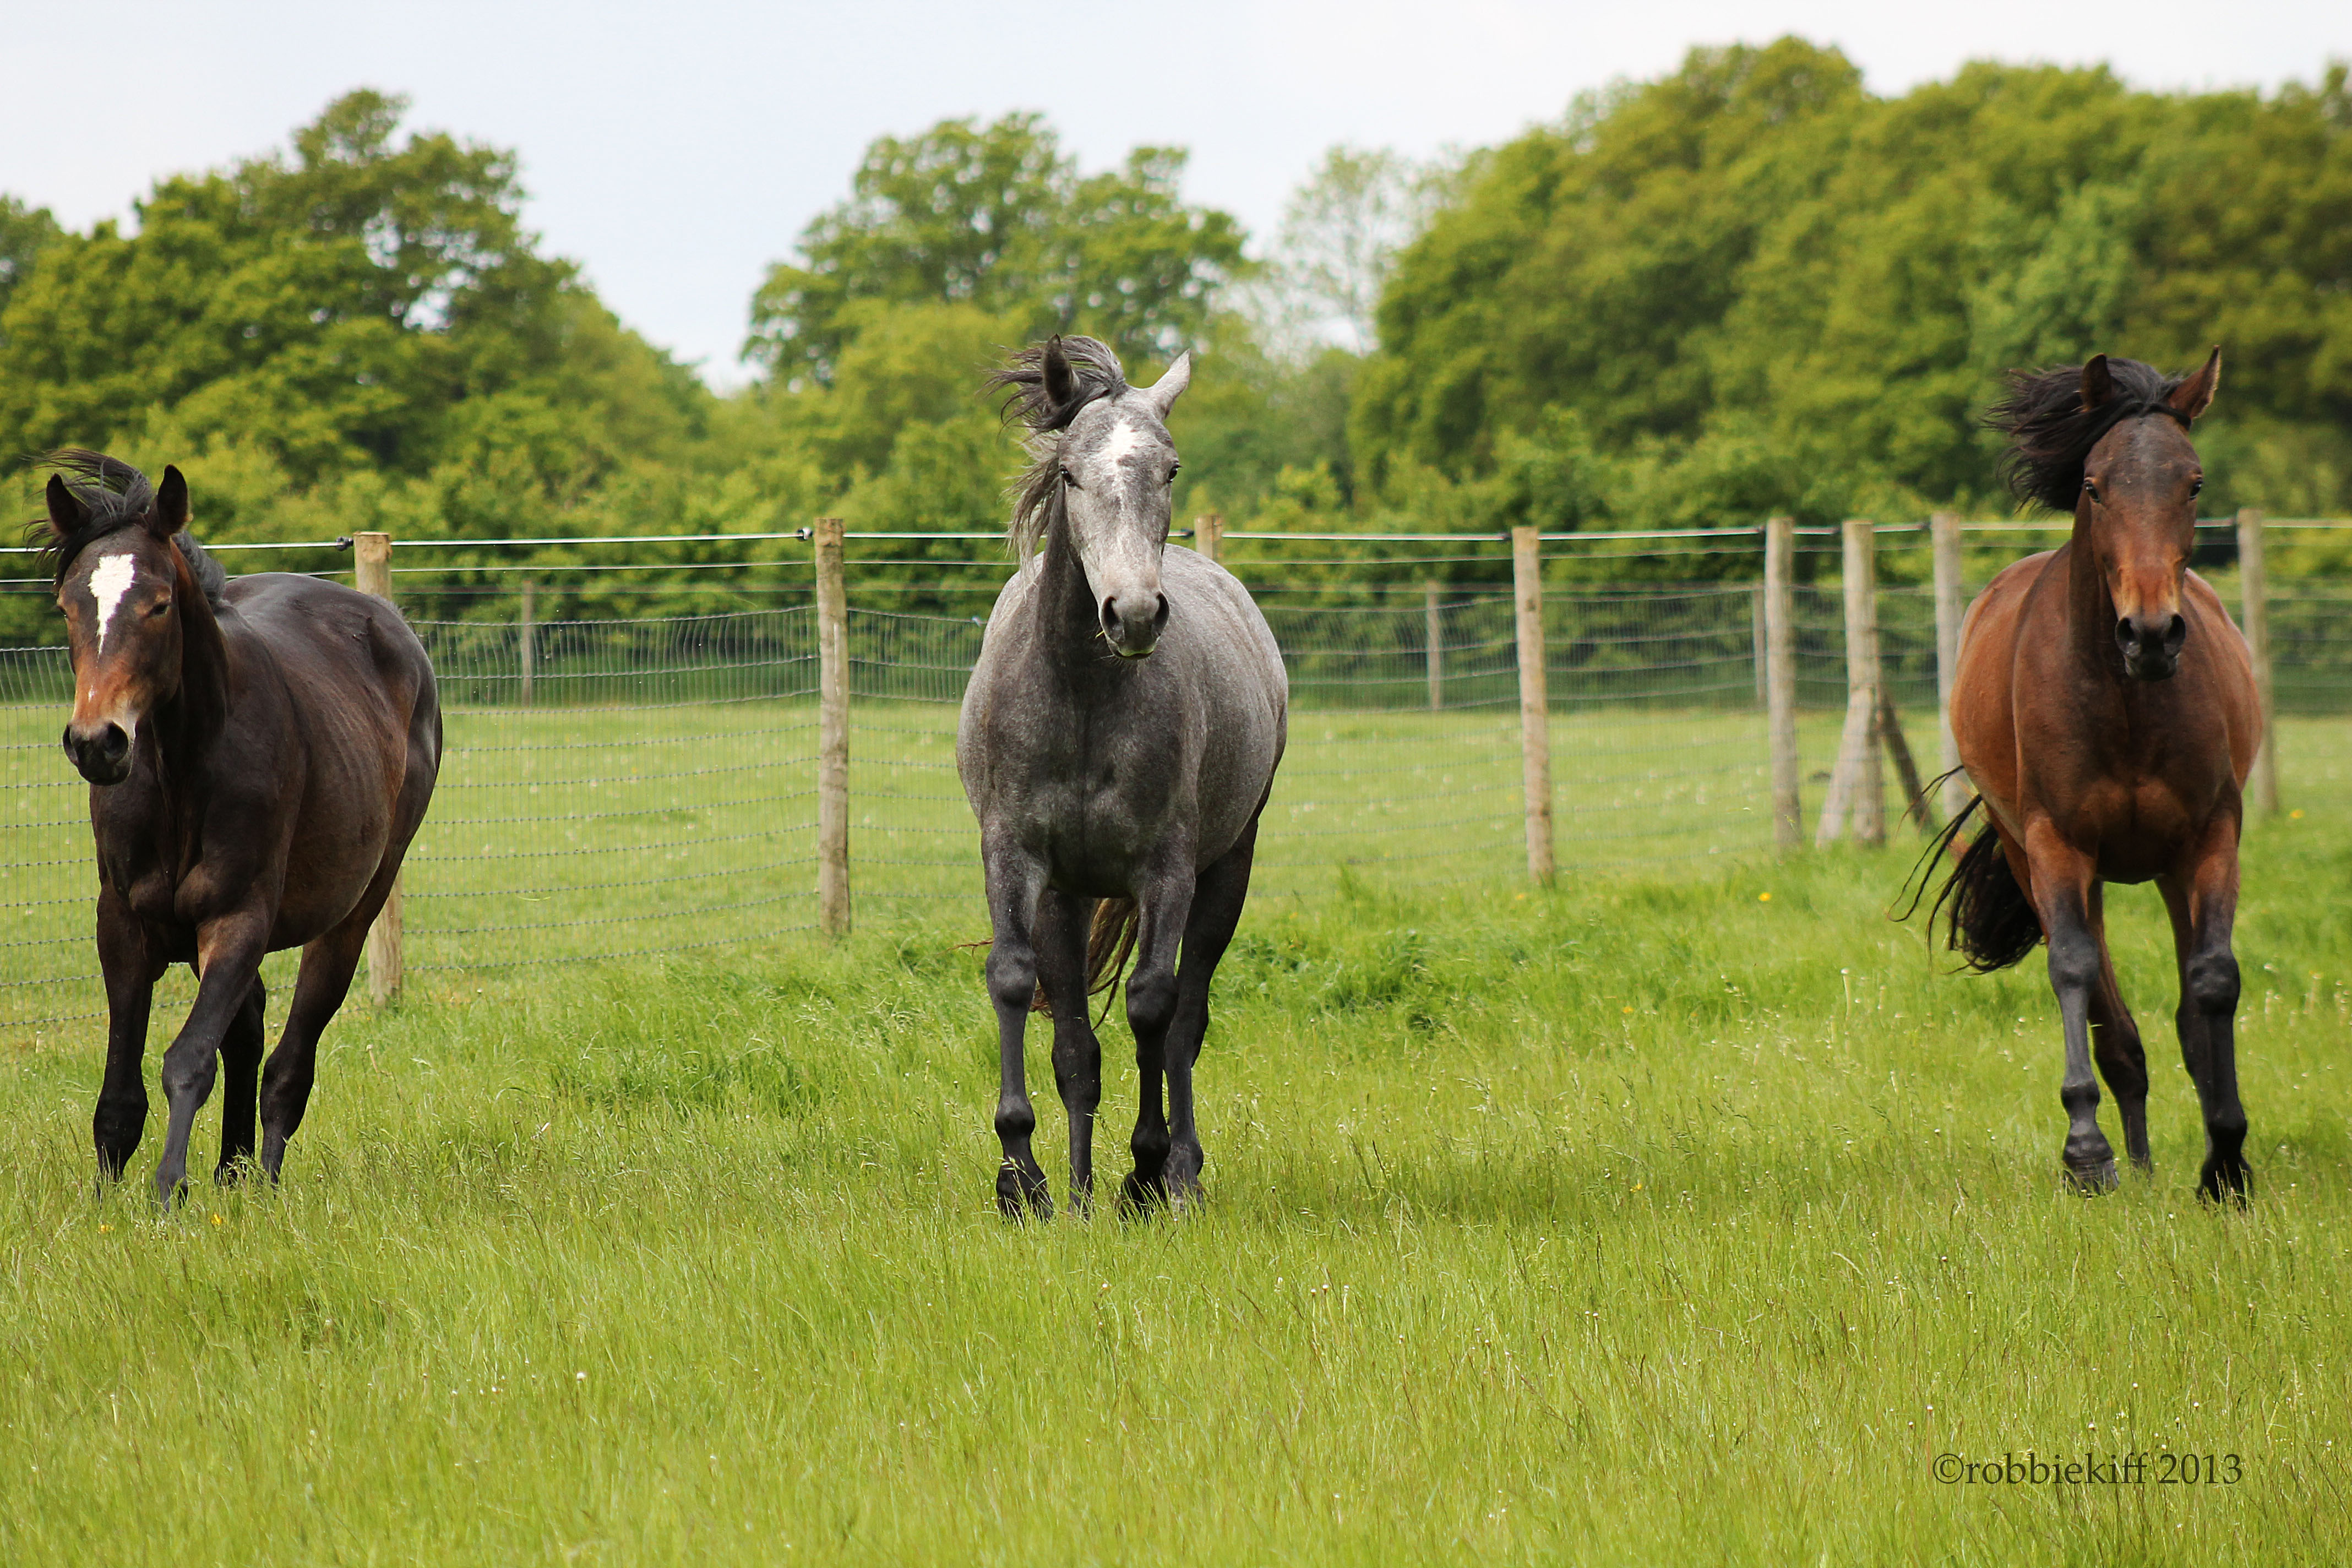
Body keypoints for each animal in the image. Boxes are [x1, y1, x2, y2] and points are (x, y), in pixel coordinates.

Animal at [36, 452, 441, 1204]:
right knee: (248, 1029)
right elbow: (120, 1092)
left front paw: (169, 1191)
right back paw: (232, 1171)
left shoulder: (237, 917)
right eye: (69, 606)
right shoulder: (123, 923)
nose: (97, 743)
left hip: (354, 910)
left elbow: (188, 1059)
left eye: (159, 604)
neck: (180, 774)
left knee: (287, 1062)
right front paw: (105, 1205)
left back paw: (260, 1181)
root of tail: (390, 624)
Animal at [958, 337, 1288, 1217]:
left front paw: (1145, 1170)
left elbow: (1153, 1006)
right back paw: (1077, 1190)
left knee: (1185, 1020)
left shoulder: (1166, 871)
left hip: (1228, 869)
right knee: (1077, 1043)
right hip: (1070, 897)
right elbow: (1020, 989)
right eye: (1071, 475)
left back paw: (1180, 1173)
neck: (1081, 694)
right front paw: (1024, 1181)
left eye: (1169, 470)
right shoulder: (1017, 860)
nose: (1134, 614)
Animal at [1926, 349, 2260, 1200]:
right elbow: (2075, 972)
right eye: (2094, 484)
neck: (2125, 700)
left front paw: (2227, 1160)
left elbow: (2213, 981)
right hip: (2047, 861)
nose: (2151, 633)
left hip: (2164, 870)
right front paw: (2086, 1152)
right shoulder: (2058, 846)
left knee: (2183, 1013)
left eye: (2194, 483)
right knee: (2115, 1023)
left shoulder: (2210, 839)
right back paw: (2128, 1162)